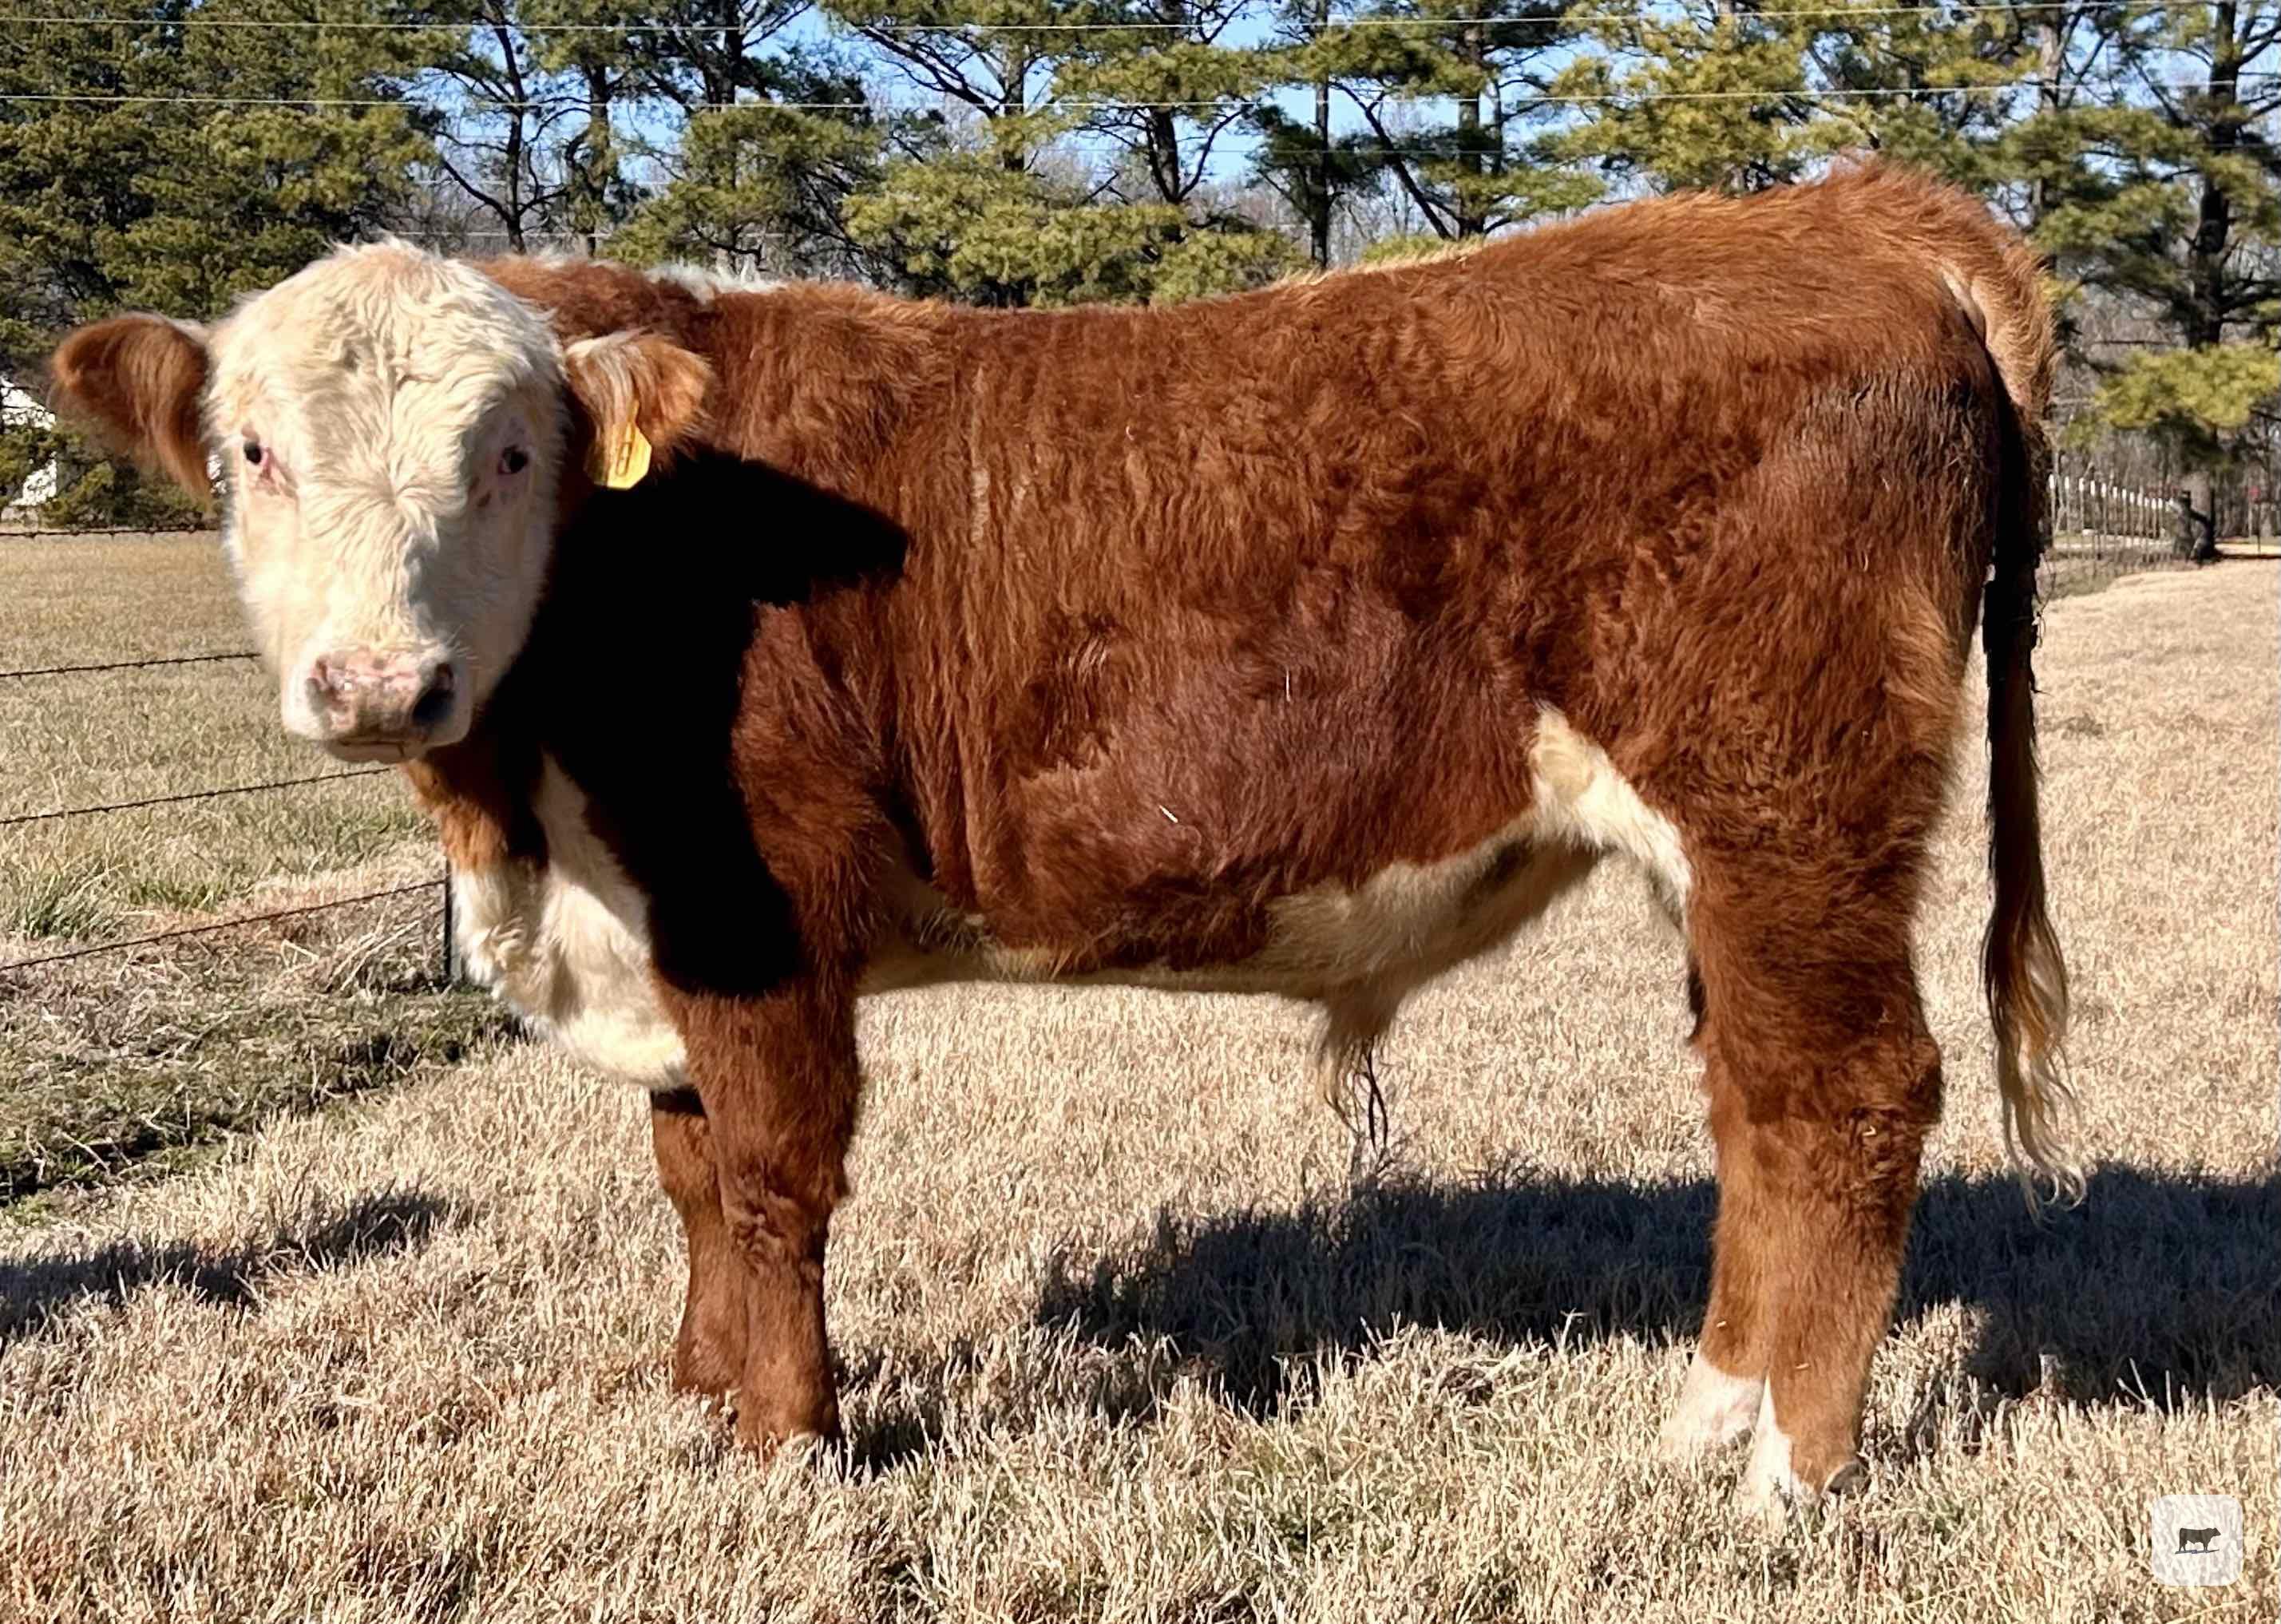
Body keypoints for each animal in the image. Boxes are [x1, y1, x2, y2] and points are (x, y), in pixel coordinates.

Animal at [50, 162, 2078, 1516]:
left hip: (1788, 809)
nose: (378, 679)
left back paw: (1790, 1476)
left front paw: (789, 1447)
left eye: (511, 453)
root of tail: (1840, 209)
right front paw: (704, 1408)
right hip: (1734, 855)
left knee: (1848, 1101)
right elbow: (690, 1176)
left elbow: (771, 1177)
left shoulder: (757, 908)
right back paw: (1703, 1418)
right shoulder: (662, 925)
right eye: (248, 452)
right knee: (1755, 1102)